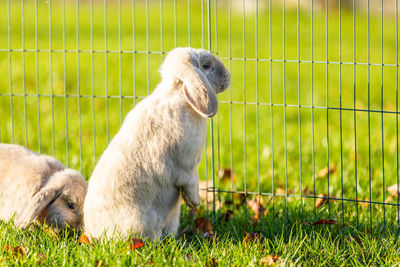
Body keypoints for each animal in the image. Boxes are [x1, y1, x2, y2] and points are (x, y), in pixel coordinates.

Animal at [83, 47, 230, 241]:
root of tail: (95, 235)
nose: (228, 76)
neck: (179, 95)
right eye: (206, 66)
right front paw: (194, 202)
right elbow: (191, 181)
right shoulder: (186, 165)